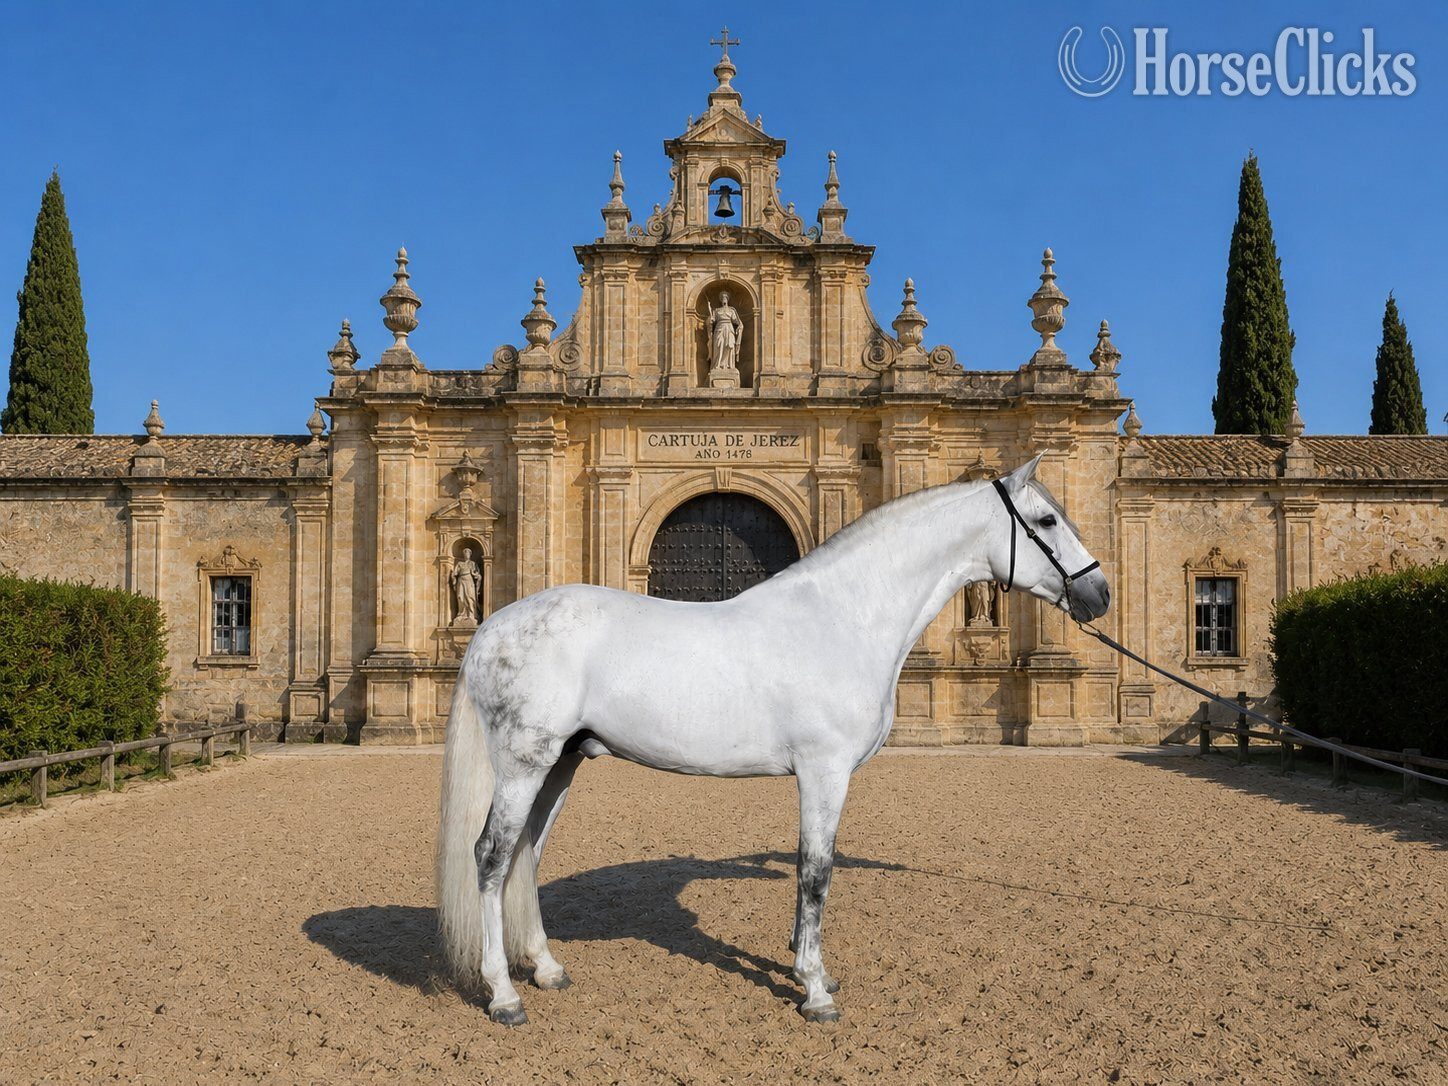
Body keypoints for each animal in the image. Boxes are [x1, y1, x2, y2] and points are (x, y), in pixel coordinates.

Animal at [436, 455, 1110, 1025]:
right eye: (1046, 519)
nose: (1099, 594)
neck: (843, 616)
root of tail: (492, 626)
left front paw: (811, 972)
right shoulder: (823, 772)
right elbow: (815, 872)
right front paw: (814, 990)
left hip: (560, 765)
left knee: (526, 854)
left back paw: (547, 969)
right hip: (523, 766)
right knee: (491, 858)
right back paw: (504, 996)